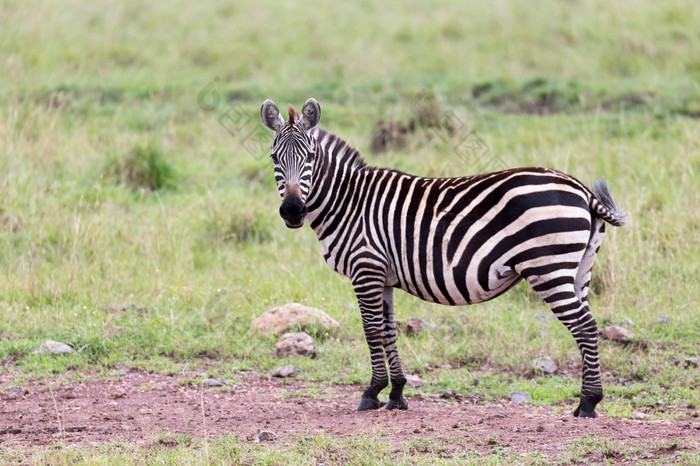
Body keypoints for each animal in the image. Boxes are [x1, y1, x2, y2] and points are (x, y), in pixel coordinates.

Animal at [260, 98, 628, 418]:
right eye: (274, 157)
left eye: (310, 156)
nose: (292, 211)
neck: (348, 202)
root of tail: (580, 188)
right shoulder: (384, 276)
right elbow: (389, 330)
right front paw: (396, 394)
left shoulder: (366, 268)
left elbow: (371, 330)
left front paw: (372, 392)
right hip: (579, 269)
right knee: (589, 326)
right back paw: (589, 400)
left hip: (548, 268)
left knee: (584, 326)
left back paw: (587, 403)